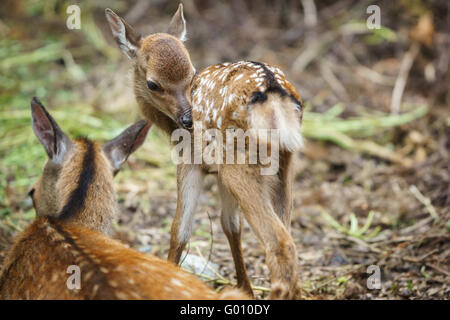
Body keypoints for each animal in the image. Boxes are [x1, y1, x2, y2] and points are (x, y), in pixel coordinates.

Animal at [105, 3, 302, 298]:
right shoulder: (219, 172)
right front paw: (244, 288)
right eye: (154, 84)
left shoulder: (189, 161)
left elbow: (180, 230)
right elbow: (230, 225)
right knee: (288, 234)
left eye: (191, 74)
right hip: (284, 162)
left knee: (280, 243)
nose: (188, 120)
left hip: (239, 164)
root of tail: (274, 92)